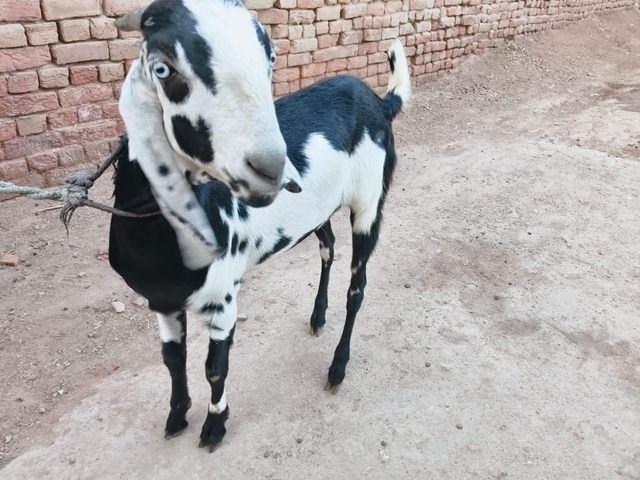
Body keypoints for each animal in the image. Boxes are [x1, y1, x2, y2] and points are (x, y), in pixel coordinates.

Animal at [109, 40, 411, 451]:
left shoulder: (221, 298)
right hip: (317, 209)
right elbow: (172, 358)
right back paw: (318, 316)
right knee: (328, 246)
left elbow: (214, 368)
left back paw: (337, 366)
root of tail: (380, 103)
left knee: (357, 287)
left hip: (369, 199)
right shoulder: (161, 301)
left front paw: (214, 426)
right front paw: (177, 416)